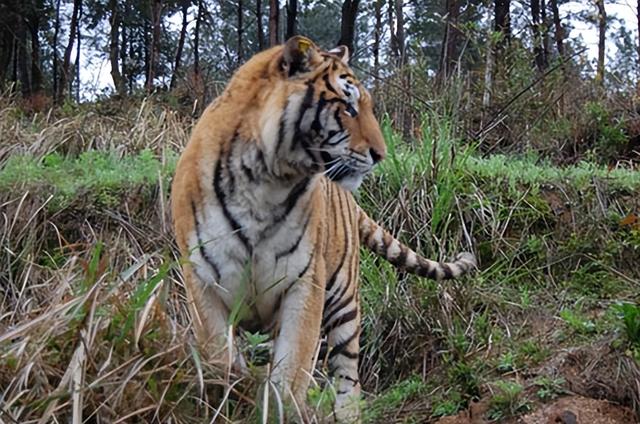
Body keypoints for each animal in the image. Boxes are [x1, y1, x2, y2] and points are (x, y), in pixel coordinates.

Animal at [170, 37, 476, 424]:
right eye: (347, 107)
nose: (381, 155)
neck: (264, 180)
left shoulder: (304, 282)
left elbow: (291, 371)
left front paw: (281, 410)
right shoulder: (202, 281)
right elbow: (219, 358)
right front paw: (228, 399)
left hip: (344, 298)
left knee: (347, 371)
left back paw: (347, 413)